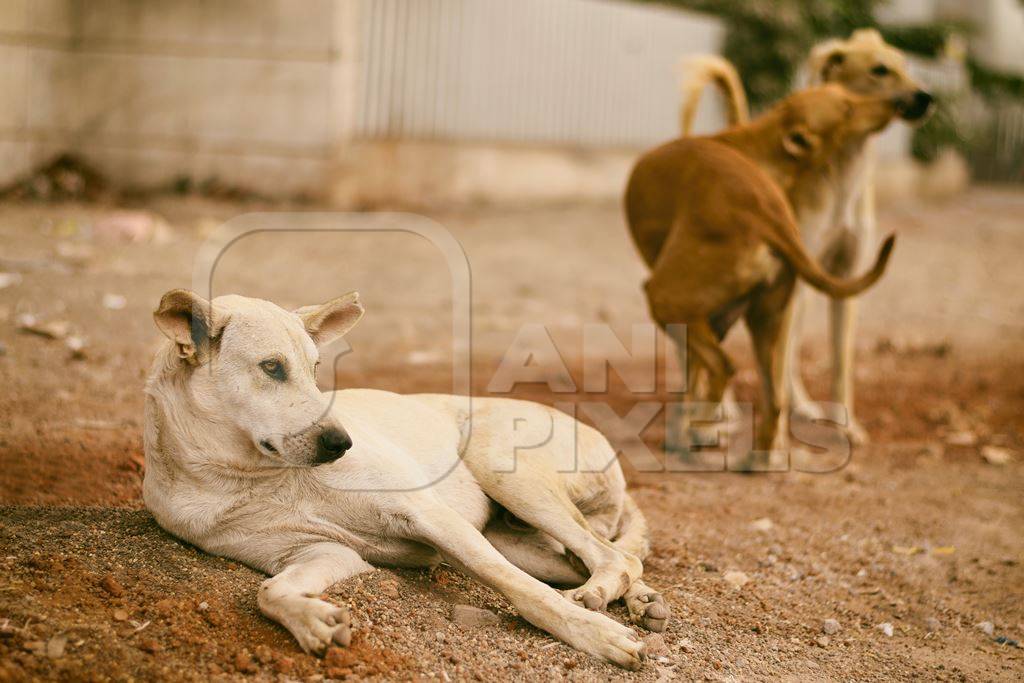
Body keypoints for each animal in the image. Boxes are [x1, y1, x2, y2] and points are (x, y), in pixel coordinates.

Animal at [144, 288, 671, 667]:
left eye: (316, 369)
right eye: (271, 367)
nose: (342, 443)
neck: (250, 476)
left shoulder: (428, 514)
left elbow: (521, 589)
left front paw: (594, 635)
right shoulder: (320, 552)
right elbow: (268, 591)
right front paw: (314, 622)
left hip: (501, 466)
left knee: (611, 556)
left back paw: (599, 600)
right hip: (513, 538)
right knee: (610, 558)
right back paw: (638, 600)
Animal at [622, 82, 905, 462]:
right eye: (846, 106)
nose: (899, 101)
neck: (759, 144)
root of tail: (767, 217)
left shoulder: (696, 321)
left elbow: (694, 379)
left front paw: (689, 431)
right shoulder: (716, 321)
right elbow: (693, 379)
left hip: (664, 300)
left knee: (724, 367)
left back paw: (703, 427)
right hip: (762, 323)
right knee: (774, 399)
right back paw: (752, 457)